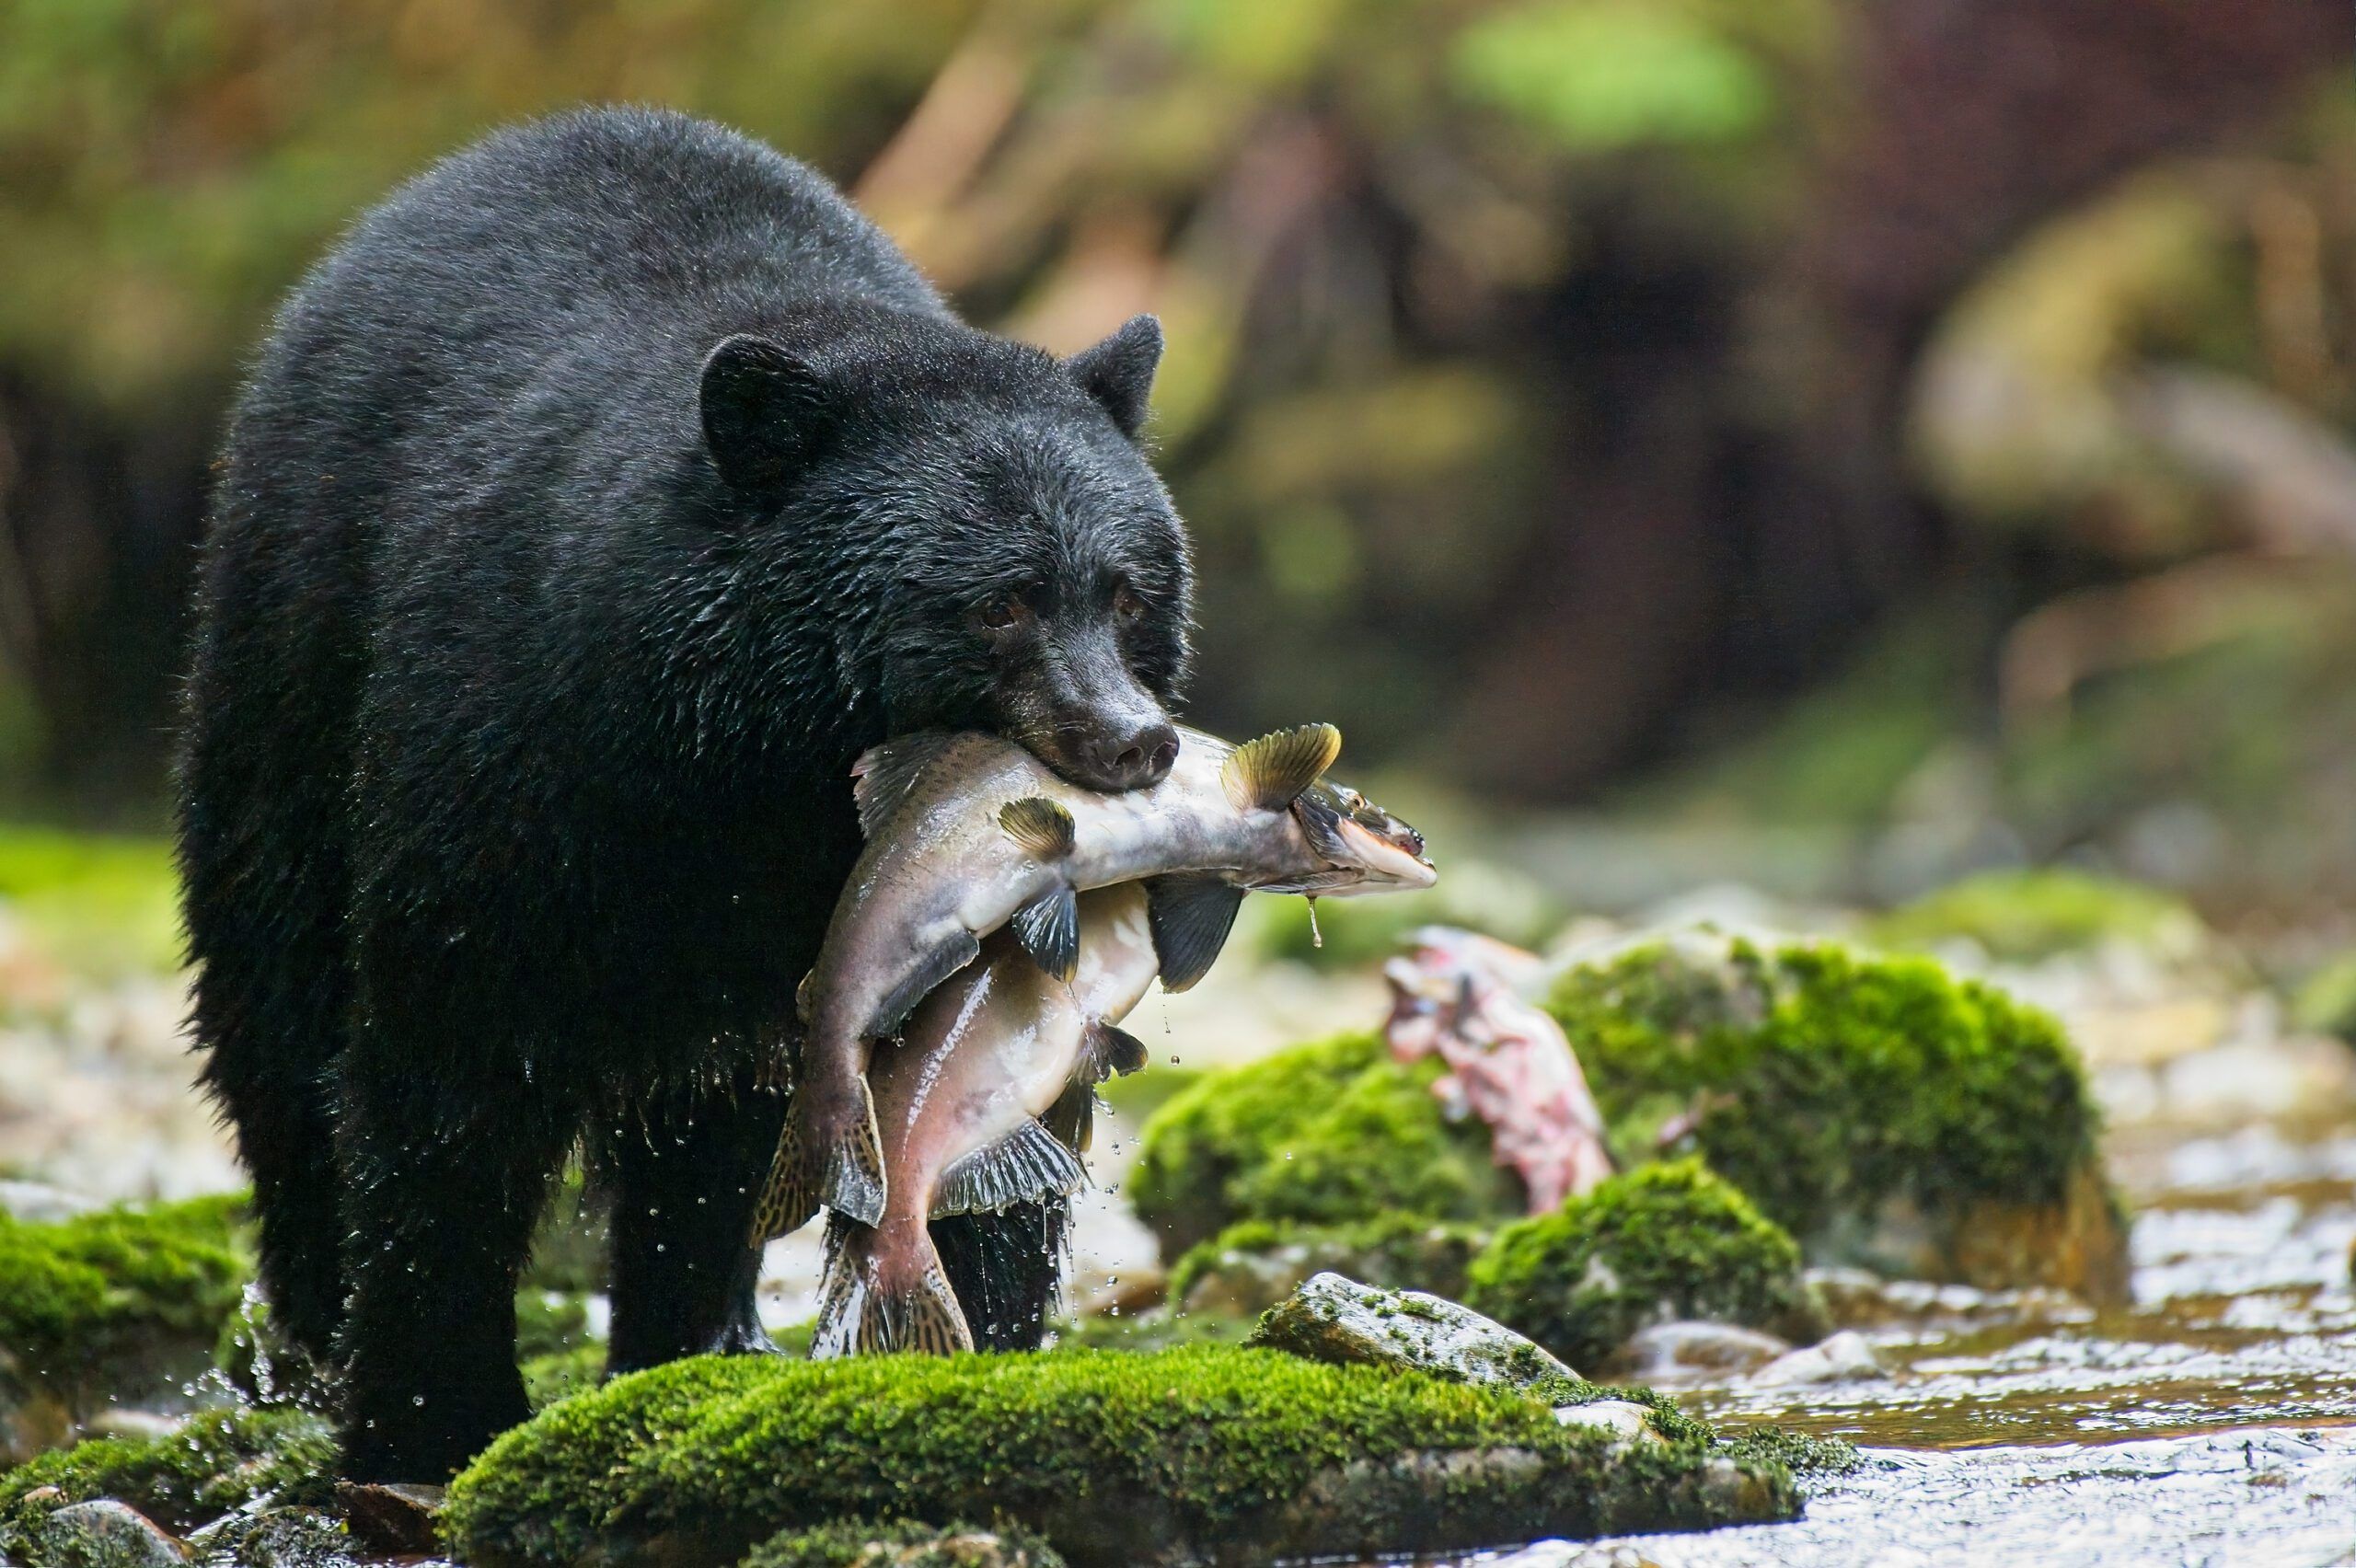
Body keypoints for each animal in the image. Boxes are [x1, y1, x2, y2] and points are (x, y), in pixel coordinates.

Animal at [176, 105, 1192, 1482]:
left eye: (1128, 592)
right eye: (1001, 602)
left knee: (713, 1129)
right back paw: (312, 1321)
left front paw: (971, 1350)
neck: (765, 781)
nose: (1135, 742)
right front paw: (433, 1415)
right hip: (281, 665)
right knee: (275, 1001)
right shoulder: (516, 759)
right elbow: (448, 1065)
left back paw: (699, 1338)